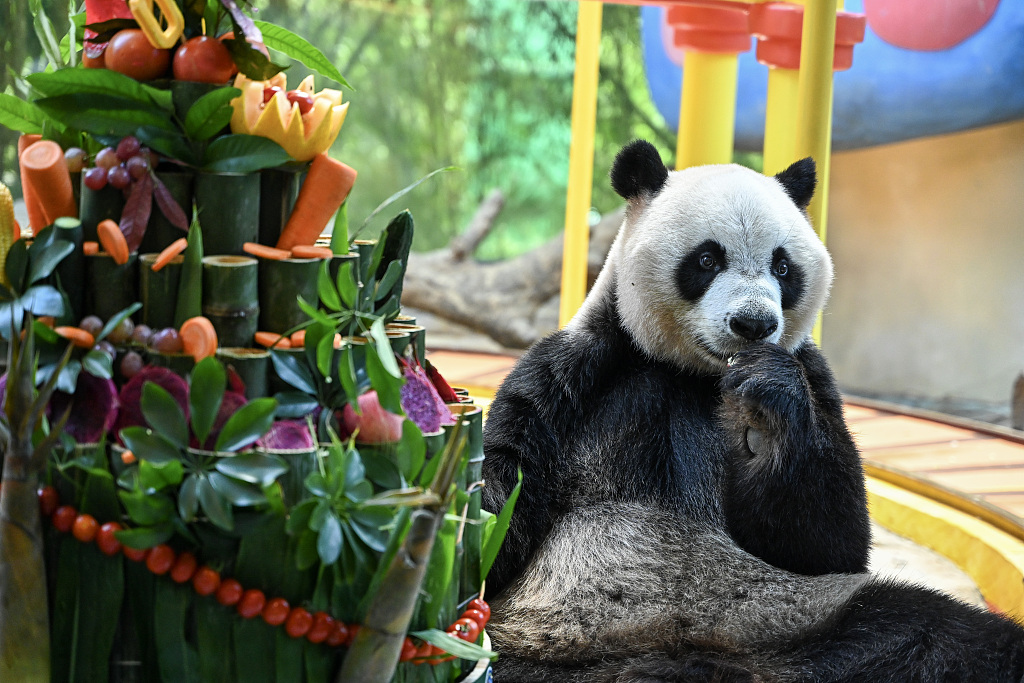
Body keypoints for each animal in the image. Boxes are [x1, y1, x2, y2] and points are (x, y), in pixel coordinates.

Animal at [479, 140, 1024, 683]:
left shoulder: (814, 379)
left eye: (783, 267)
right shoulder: (578, 372)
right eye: (706, 259)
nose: (754, 323)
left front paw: (764, 412)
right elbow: (508, 491)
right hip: (542, 640)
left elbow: (824, 543)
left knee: (936, 631)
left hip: (799, 619)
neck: (696, 376)